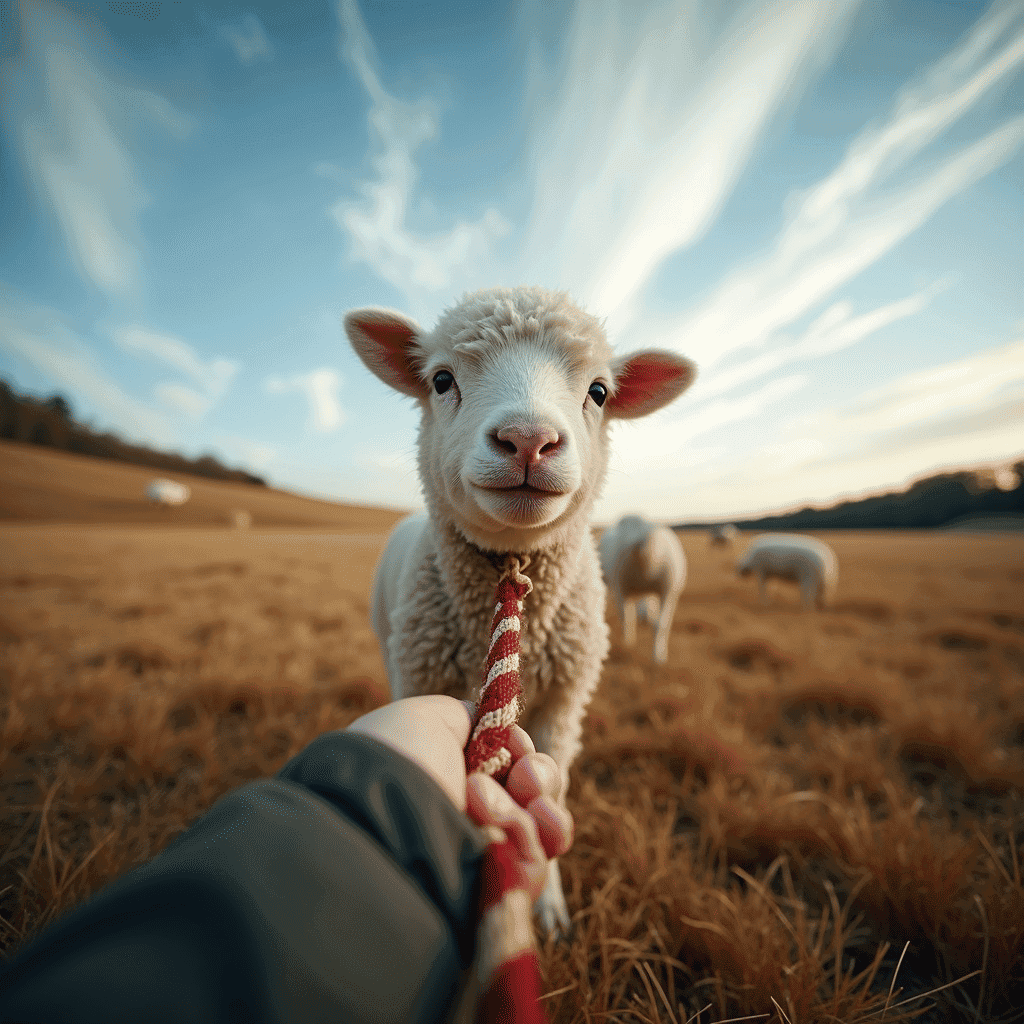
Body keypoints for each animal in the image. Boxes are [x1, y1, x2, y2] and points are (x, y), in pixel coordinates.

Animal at [599, 514, 686, 664]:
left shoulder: (668, 593)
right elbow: (627, 618)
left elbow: (661, 624)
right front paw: (627, 644)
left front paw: (658, 655)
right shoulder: (622, 589)